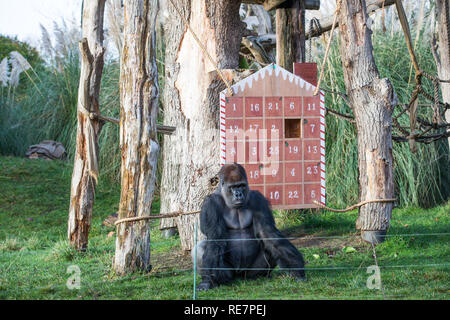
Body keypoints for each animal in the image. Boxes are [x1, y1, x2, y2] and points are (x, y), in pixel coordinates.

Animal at [193, 162, 306, 290]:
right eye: (233, 187)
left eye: (241, 185)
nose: (238, 194)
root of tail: (240, 276)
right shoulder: (210, 204)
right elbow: (215, 239)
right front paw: (207, 280)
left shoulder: (258, 199)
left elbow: (267, 233)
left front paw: (296, 268)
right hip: (230, 275)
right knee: (201, 247)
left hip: (249, 273)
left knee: (270, 246)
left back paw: (259, 276)